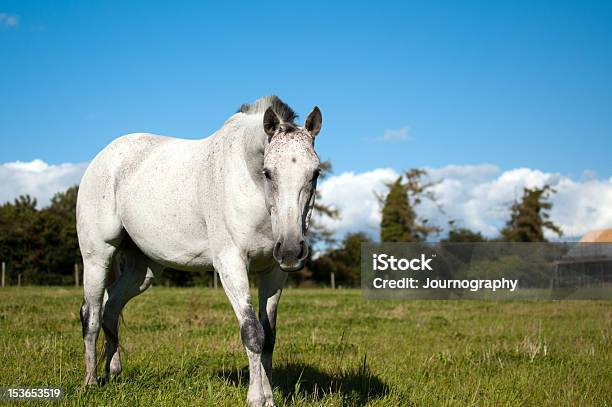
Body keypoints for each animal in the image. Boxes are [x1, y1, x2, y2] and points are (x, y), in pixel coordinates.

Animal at [76, 96, 322, 407]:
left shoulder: (275, 272)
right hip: (97, 256)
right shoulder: (231, 264)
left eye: (315, 173)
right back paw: (91, 381)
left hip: (142, 271)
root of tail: (104, 157)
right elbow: (252, 333)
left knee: (111, 307)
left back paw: (114, 372)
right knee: (92, 314)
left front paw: (269, 398)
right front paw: (256, 398)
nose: (291, 250)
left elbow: (269, 337)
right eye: (268, 172)